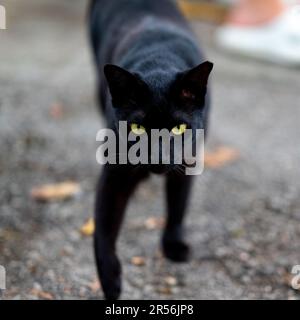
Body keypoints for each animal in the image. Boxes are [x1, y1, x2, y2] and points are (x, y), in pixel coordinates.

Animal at [89, 0, 213, 300]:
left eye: (178, 129)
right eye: (137, 128)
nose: (156, 158)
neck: (160, 63)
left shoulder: (187, 162)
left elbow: (178, 205)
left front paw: (173, 245)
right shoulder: (115, 175)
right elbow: (103, 226)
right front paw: (110, 281)